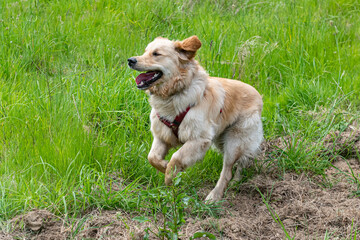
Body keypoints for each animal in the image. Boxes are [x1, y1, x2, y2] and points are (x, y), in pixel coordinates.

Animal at [128, 35, 262, 201]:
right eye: (145, 51)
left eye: (156, 54)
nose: (130, 60)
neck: (174, 94)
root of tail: (258, 96)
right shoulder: (162, 136)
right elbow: (152, 157)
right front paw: (164, 166)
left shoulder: (199, 139)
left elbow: (176, 157)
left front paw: (169, 175)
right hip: (222, 141)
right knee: (239, 164)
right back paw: (236, 182)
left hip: (234, 142)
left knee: (227, 171)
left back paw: (214, 196)